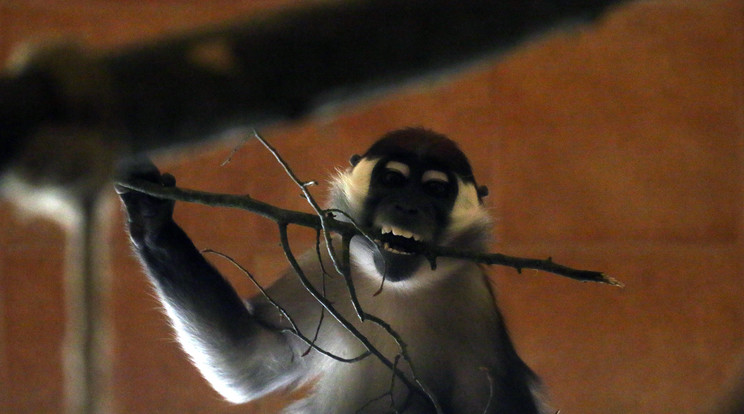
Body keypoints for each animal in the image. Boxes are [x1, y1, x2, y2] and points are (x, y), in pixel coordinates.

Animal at [117, 128, 548, 412]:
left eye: (436, 190)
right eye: (392, 179)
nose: (408, 206)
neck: (399, 288)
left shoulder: (474, 303)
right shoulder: (325, 265)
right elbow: (255, 356)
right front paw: (152, 219)